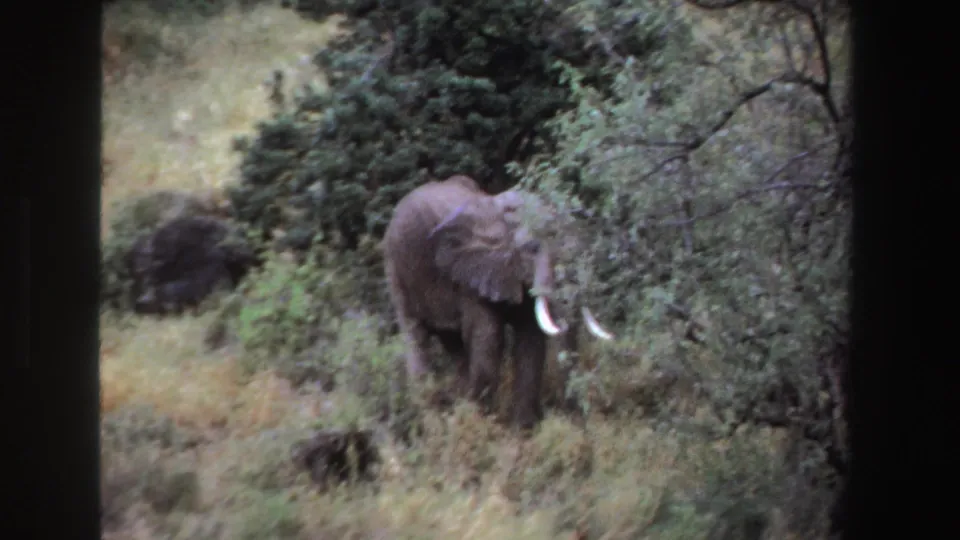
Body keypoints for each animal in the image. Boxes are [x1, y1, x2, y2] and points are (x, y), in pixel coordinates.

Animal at [383, 174, 614, 428]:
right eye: (532, 248)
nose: (577, 418)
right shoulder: (470, 275)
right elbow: (489, 338)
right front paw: (484, 424)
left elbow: (530, 339)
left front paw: (523, 429)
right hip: (396, 270)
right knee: (416, 337)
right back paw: (433, 419)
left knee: (454, 346)